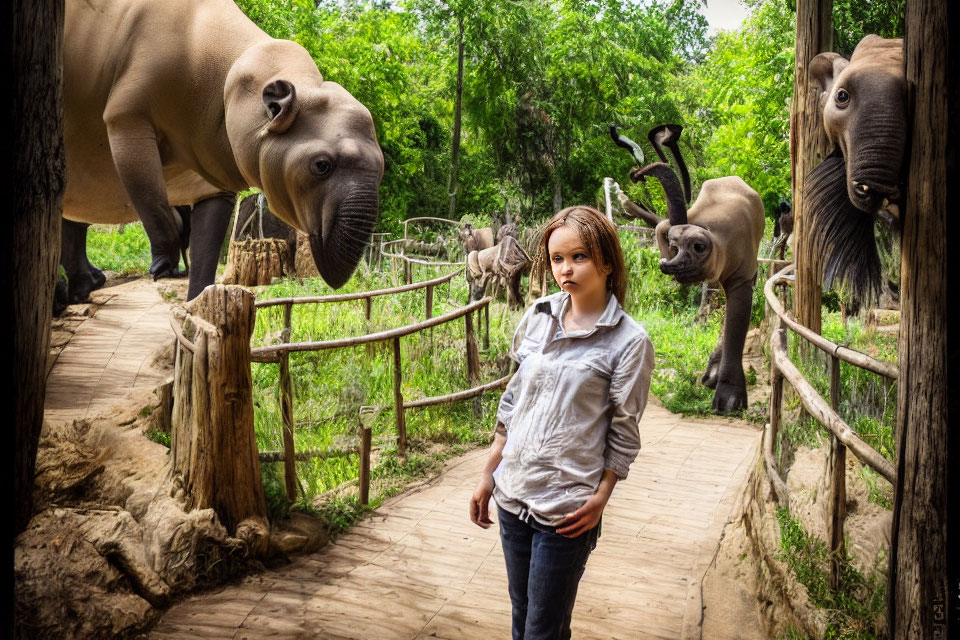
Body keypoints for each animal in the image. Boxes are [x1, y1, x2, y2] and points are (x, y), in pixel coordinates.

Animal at [632, 125, 764, 416]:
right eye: (672, 245)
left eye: (698, 247)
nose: (637, 174)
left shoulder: (743, 259)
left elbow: (739, 309)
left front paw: (728, 404)